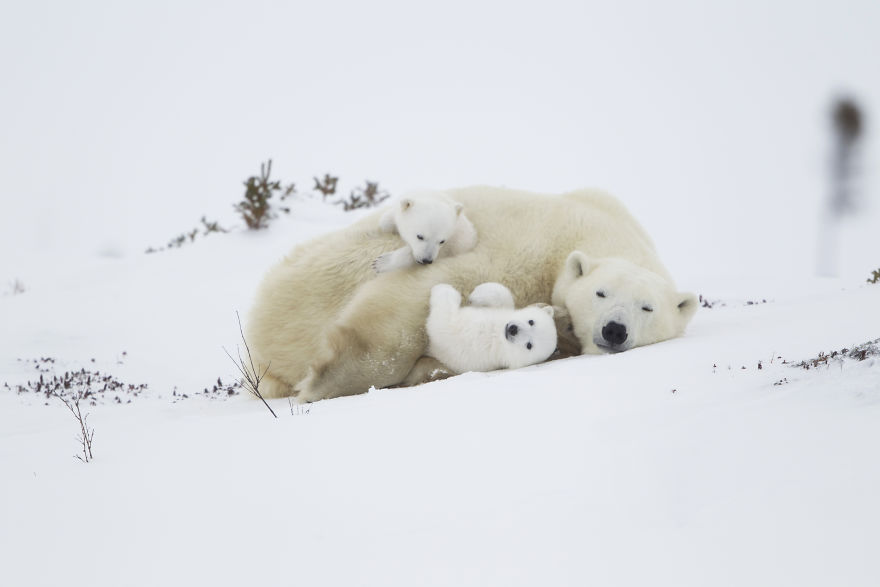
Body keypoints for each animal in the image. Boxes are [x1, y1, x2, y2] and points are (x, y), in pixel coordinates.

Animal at [426, 282, 558, 373]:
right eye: (531, 322)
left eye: (529, 345)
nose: (513, 329)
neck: (497, 332)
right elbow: (503, 296)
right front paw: (476, 295)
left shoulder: (471, 347)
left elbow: (443, 322)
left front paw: (442, 288)